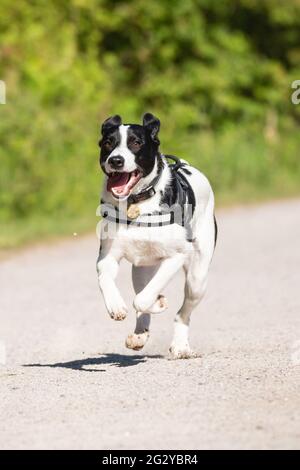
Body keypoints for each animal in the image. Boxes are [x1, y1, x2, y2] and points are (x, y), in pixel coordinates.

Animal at [97, 114, 217, 360]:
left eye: (136, 143)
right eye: (108, 143)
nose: (116, 160)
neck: (136, 205)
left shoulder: (177, 256)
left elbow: (142, 299)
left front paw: (158, 302)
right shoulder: (108, 256)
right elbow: (106, 279)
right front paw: (116, 306)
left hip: (197, 278)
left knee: (183, 312)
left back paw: (180, 346)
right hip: (141, 268)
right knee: (143, 290)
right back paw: (139, 335)